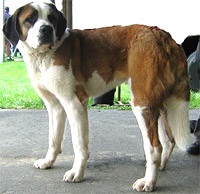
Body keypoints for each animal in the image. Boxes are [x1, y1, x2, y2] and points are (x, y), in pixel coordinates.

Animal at [3, 1, 191, 192]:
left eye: (52, 18)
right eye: (30, 19)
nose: (46, 29)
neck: (44, 55)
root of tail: (164, 36)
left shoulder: (75, 104)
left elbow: (79, 144)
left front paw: (77, 173)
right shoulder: (55, 106)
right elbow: (54, 138)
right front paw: (48, 162)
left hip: (142, 102)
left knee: (155, 146)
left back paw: (148, 182)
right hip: (154, 102)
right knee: (168, 140)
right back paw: (160, 167)